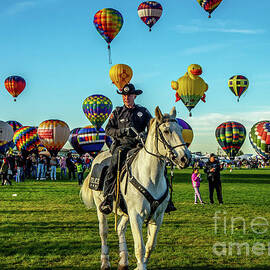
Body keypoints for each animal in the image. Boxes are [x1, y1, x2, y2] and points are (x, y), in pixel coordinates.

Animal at [80, 106, 192, 268]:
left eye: (181, 130)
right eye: (166, 131)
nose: (185, 158)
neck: (150, 177)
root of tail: (97, 158)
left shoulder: (158, 216)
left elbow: (150, 246)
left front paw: (141, 264)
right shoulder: (136, 215)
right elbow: (140, 247)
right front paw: (140, 266)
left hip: (126, 213)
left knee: (120, 229)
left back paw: (123, 260)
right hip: (101, 209)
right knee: (104, 232)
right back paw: (105, 261)